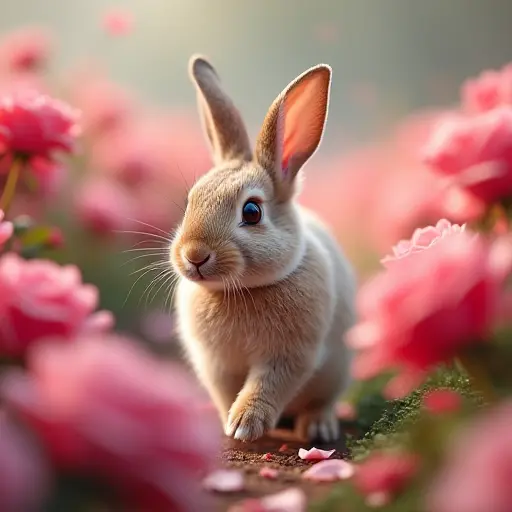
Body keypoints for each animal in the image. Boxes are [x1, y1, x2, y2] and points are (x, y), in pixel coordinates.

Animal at [169, 54, 356, 442]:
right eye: (190, 201)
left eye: (252, 212)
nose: (194, 256)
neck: (239, 291)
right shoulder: (216, 366)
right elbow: (226, 392)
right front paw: (228, 425)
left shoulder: (290, 356)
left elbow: (265, 386)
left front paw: (243, 425)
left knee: (322, 402)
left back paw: (318, 428)